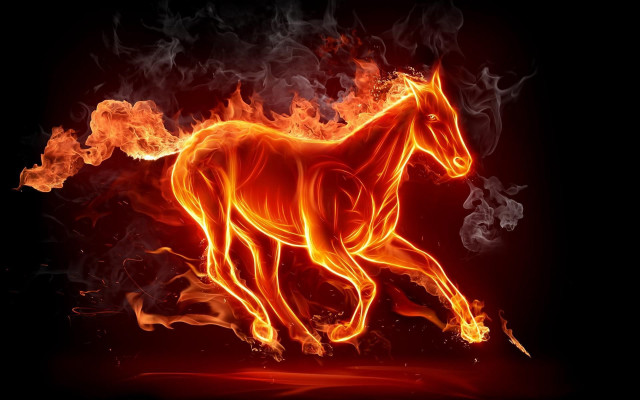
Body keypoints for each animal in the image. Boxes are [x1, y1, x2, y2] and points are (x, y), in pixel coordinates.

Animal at [170, 68, 488, 356]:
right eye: (432, 118)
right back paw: (265, 327)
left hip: (256, 229)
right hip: (215, 214)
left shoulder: (375, 245)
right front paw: (343, 331)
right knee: (220, 267)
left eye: (453, 115)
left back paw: (306, 339)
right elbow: (369, 285)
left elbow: (430, 265)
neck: (362, 173)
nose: (462, 163)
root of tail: (192, 145)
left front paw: (472, 330)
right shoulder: (325, 247)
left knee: (265, 280)